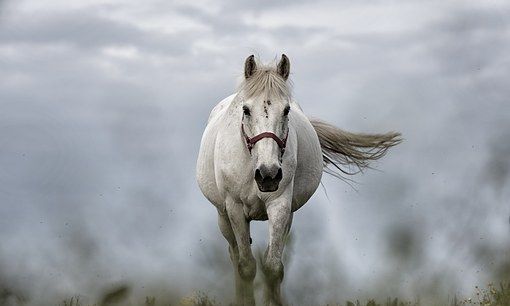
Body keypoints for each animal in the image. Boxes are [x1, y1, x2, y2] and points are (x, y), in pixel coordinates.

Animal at [197, 55, 400, 306]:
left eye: (286, 110)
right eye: (246, 110)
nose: (268, 174)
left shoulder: (280, 206)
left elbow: (273, 267)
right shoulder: (234, 208)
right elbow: (246, 267)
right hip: (223, 216)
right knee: (235, 256)